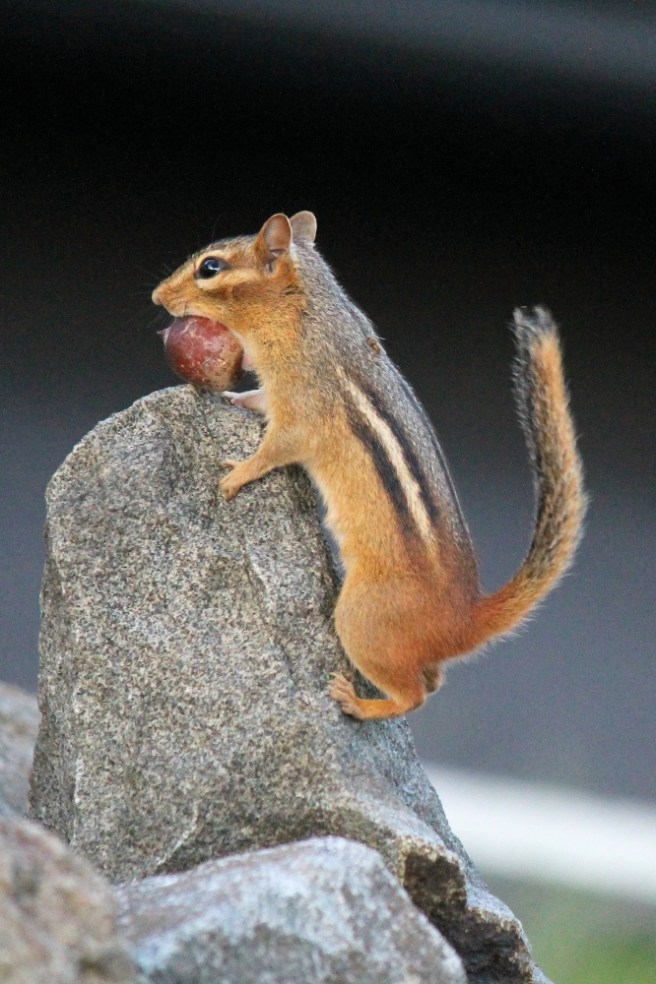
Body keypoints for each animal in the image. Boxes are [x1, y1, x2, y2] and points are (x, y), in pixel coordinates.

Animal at [152, 211, 587, 721]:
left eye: (210, 267)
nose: (156, 296)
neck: (302, 311)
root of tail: (466, 616)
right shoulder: (279, 393)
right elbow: (259, 401)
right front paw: (234, 399)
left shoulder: (302, 406)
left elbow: (276, 448)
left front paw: (238, 472)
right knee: (433, 682)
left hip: (361, 619)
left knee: (414, 696)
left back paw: (358, 703)